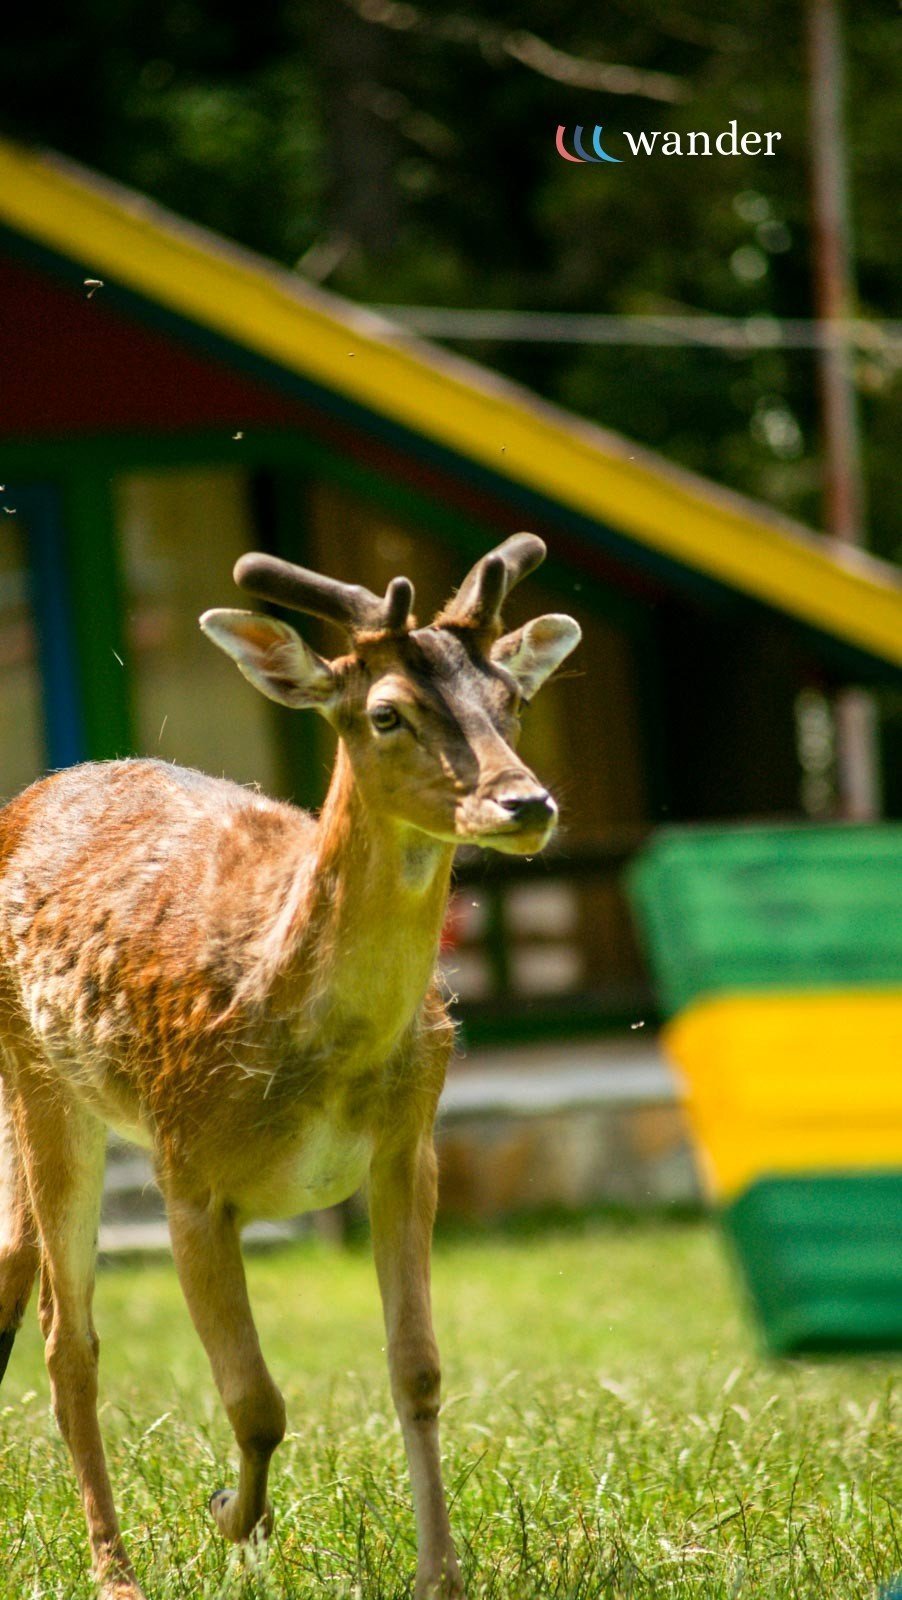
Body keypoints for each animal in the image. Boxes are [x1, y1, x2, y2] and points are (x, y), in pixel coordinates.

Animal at [0, 532, 580, 1600]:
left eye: (511, 698)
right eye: (387, 711)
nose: (525, 802)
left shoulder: (408, 1152)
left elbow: (417, 1368)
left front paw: (441, 1574)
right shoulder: (189, 1172)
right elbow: (256, 1399)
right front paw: (232, 1516)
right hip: (46, 1084)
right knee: (68, 1337)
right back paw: (115, 1572)